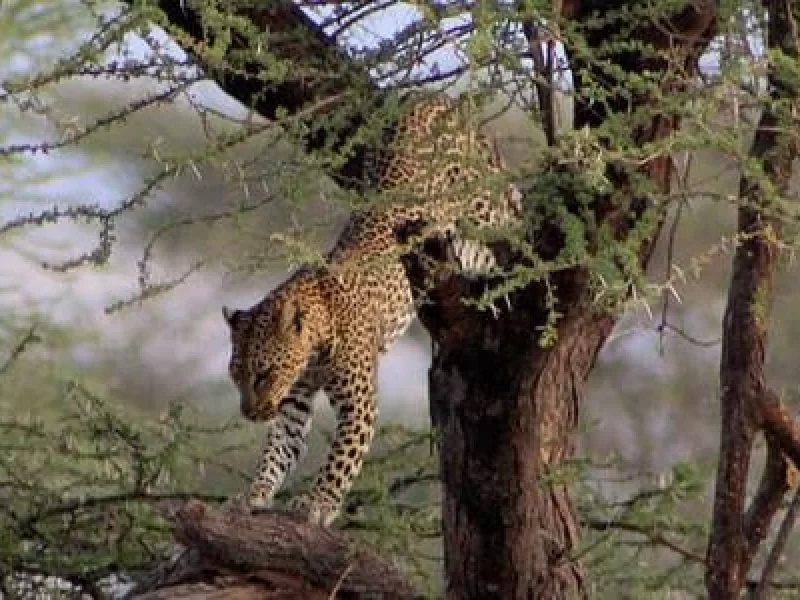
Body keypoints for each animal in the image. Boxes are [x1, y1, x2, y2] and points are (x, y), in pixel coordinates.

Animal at [223, 95, 522, 526]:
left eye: (263, 374)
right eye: (236, 376)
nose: (248, 413)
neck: (315, 342)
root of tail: (436, 97)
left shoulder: (359, 402)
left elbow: (340, 458)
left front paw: (318, 504)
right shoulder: (294, 401)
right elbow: (279, 449)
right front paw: (255, 495)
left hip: (483, 207)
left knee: (514, 223)